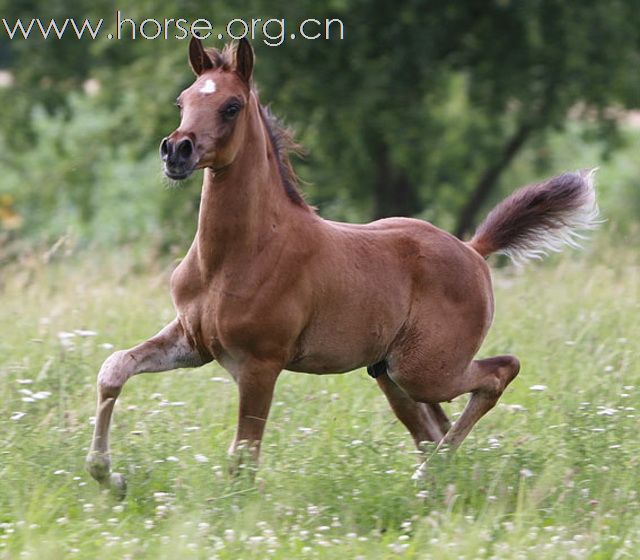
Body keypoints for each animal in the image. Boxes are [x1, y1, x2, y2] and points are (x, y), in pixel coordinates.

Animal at [82, 37, 596, 496]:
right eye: (183, 100)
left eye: (231, 106)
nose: (177, 151)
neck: (236, 256)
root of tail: (472, 250)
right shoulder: (193, 342)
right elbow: (114, 368)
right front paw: (110, 478)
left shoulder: (260, 365)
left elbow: (243, 458)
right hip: (391, 375)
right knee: (433, 430)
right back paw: (435, 486)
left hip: (425, 369)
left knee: (498, 373)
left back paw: (426, 479)